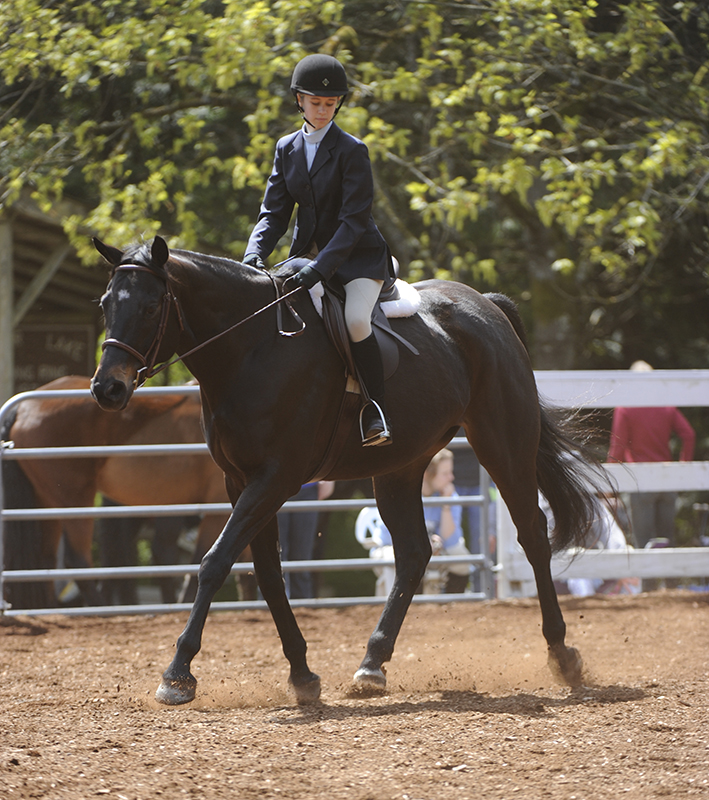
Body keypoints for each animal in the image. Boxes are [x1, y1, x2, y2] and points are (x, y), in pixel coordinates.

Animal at [1, 375, 234, 609]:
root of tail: (22, 409)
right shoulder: (216, 507)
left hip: (46, 501)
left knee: (46, 558)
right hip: (75, 499)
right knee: (77, 559)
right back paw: (104, 608)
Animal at [90, 235, 606, 705]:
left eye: (152, 306)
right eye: (104, 304)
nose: (106, 389)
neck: (250, 349)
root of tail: (485, 304)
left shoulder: (275, 478)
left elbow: (215, 562)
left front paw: (178, 674)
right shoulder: (241, 482)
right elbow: (267, 573)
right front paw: (301, 674)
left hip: (503, 445)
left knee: (532, 535)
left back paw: (563, 655)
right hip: (400, 466)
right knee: (414, 552)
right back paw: (372, 665)